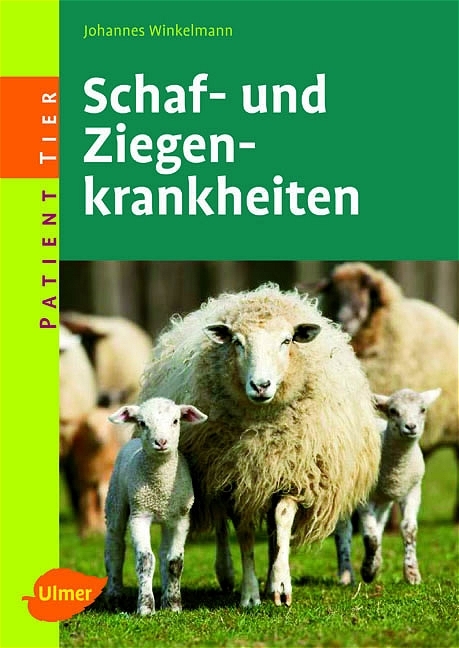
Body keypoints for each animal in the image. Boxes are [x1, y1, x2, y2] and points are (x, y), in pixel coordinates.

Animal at [104, 397, 207, 615]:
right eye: (142, 423)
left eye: (176, 421)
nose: (161, 442)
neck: (160, 488)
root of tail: (133, 441)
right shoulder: (139, 515)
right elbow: (145, 560)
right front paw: (145, 607)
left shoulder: (181, 519)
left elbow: (174, 561)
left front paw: (173, 605)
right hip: (116, 500)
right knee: (114, 546)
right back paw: (114, 596)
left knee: (163, 554)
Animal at [138, 284, 381, 607]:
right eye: (237, 342)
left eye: (286, 340)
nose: (261, 385)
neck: (263, 429)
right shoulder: (235, 480)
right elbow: (243, 533)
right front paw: (250, 593)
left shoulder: (293, 475)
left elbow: (282, 522)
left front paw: (280, 584)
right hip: (215, 476)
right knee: (220, 525)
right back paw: (227, 574)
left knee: (274, 532)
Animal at [336, 388, 441, 586]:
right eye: (393, 411)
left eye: (423, 409)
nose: (411, 427)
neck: (397, 470)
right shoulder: (365, 498)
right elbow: (370, 538)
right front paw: (368, 571)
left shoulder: (412, 491)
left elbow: (409, 530)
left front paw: (412, 574)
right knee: (344, 531)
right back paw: (346, 576)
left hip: (383, 501)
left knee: (379, 524)